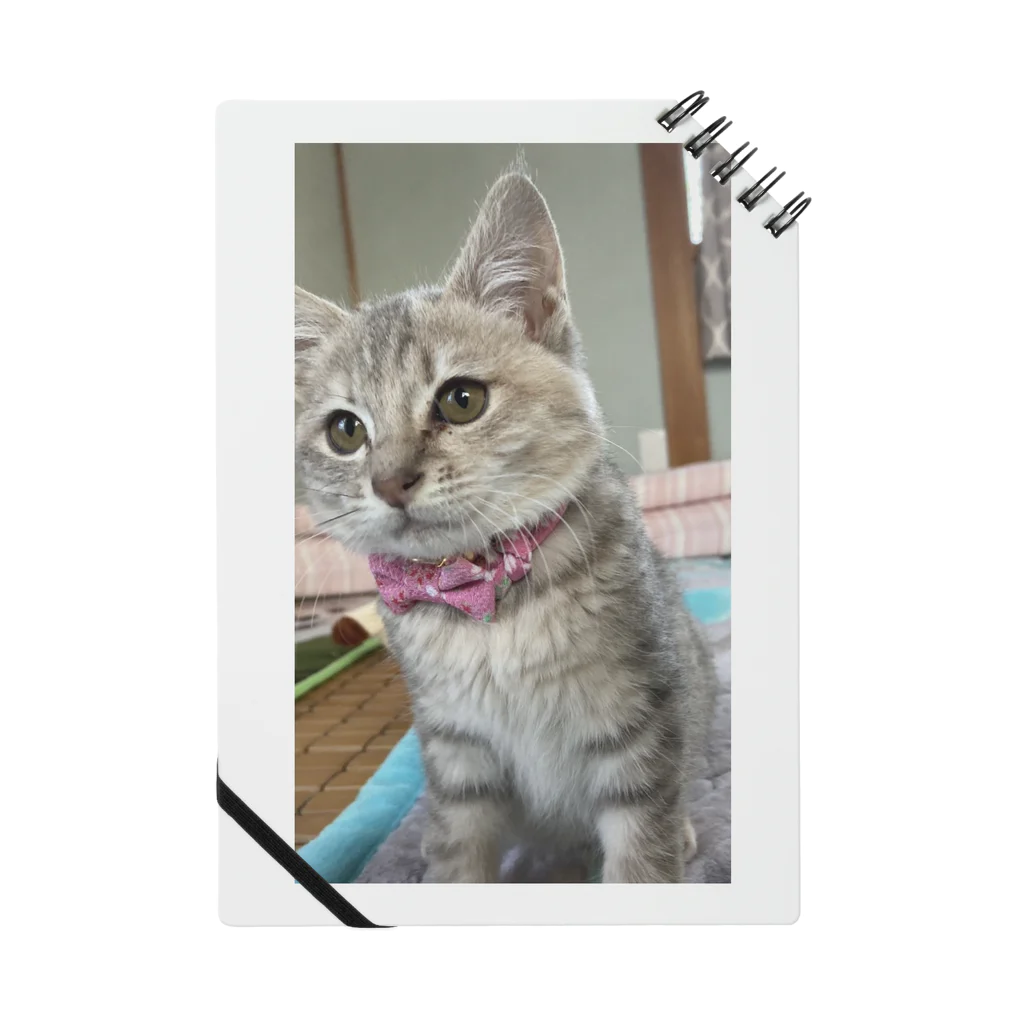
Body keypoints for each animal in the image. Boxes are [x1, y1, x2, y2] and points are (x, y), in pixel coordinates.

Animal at [295, 168, 714, 882]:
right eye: (346, 431)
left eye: (462, 400)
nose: (390, 480)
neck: (484, 597)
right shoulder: (454, 749)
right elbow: (457, 849)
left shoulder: (638, 722)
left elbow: (641, 850)